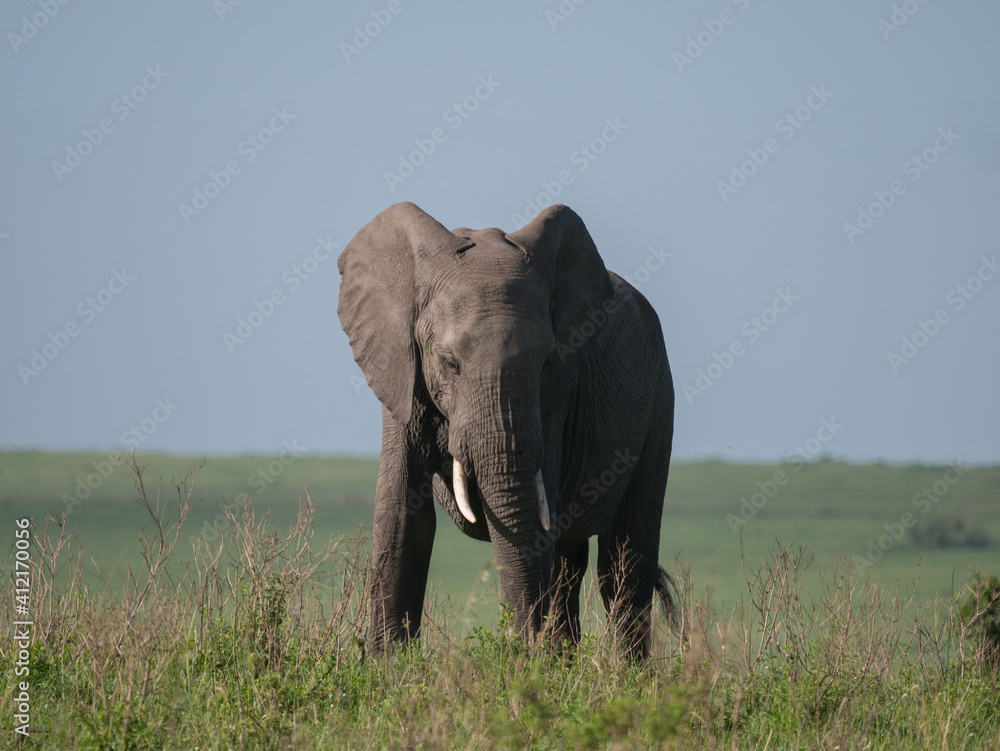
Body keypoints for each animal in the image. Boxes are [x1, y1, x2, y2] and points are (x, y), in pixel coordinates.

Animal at [337, 202, 674, 657]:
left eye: (547, 362)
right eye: (449, 362)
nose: (519, 644)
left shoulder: (554, 401)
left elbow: (536, 521)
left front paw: (530, 664)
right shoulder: (401, 370)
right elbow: (403, 521)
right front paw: (387, 667)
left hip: (659, 400)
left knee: (624, 561)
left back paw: (621, 672)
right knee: (572, 561)